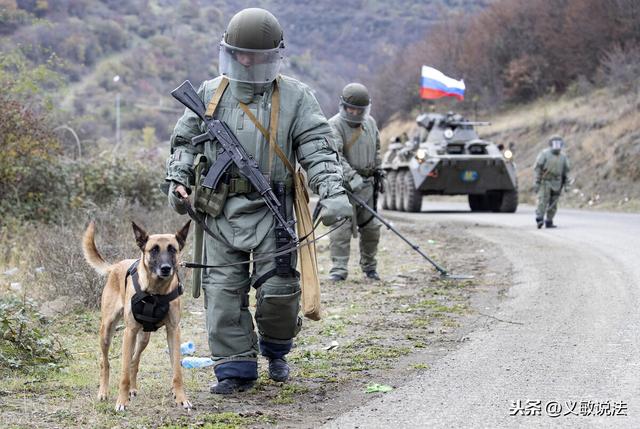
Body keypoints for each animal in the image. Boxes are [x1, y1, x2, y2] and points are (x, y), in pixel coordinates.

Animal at [81, 219, 190, 410]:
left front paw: (181, 398)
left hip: (144, 338)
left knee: (134, 361)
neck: (155, 292)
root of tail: (115, 266)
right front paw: (121, 402)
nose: (166, 269)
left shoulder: (173, 331)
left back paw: (132, 388)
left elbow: (177, 371)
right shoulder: (129, 332)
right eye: (154, 249)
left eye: (172, 249)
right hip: (107, 331)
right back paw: (103, 392)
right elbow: (123, 374)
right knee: (105, 362)